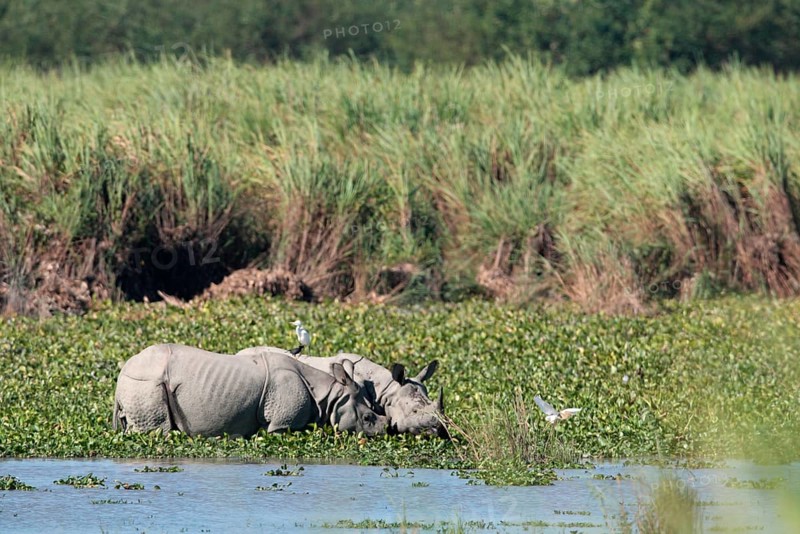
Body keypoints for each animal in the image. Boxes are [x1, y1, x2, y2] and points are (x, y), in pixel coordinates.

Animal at [113, 343, 387, 438]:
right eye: (368, 418)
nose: (386, 431)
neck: (329, 395)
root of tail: (122, 371)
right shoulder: (282, 425)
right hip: (146, 382)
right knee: (156, 433)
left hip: (141, 381)